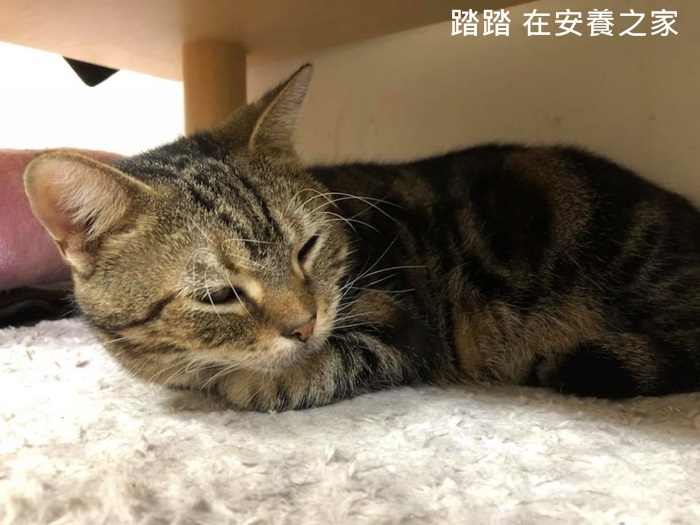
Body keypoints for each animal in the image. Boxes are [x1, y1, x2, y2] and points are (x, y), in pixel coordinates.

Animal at [24, 64, 700, 411]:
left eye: (307, 248)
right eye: (218, 296)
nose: (303, 325)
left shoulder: (403, 326)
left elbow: (318, 367)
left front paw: (253, 383)